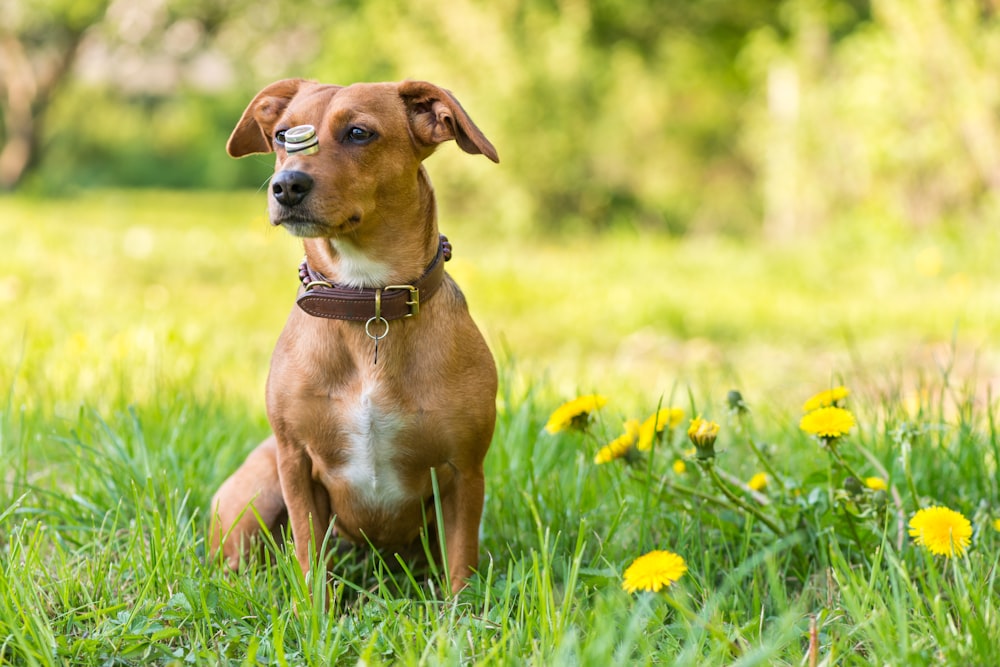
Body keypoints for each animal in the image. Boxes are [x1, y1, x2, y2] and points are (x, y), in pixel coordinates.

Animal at [213, 79, 500, 596]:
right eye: (283, 135)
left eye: (359, 133)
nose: (286, 185)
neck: (367, 300)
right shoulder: (296, 464)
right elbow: (310, 555)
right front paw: (314, 610)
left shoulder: (463, 472)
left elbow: (460, 564)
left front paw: (462, 613)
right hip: (259, 488)